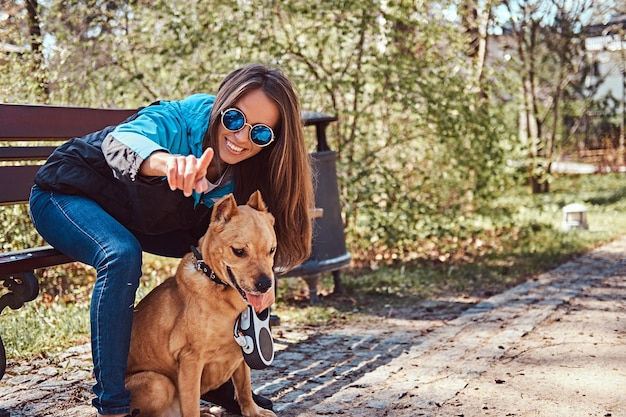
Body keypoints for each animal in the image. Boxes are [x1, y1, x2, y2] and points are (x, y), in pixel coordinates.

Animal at [124, 192, 276, 416]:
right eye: (238, 251)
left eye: (272, 250)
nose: (265, 284)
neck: (218, 287)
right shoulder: (190, 360)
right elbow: (191, 404)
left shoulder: (242, 355)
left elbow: (244, 388)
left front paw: (253, 411)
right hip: (157, 383)